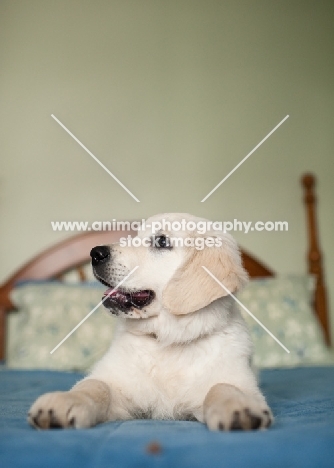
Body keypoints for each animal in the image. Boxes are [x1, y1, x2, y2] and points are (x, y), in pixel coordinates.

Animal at [28, 214, 272, 430]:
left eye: (161, 242)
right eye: (135, 236)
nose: (95, 253)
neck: (167, 339)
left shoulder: (238, 379)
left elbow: (223, 386)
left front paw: (238, 408)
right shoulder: (119, 387)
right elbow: (95, 385)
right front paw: (65, 401)